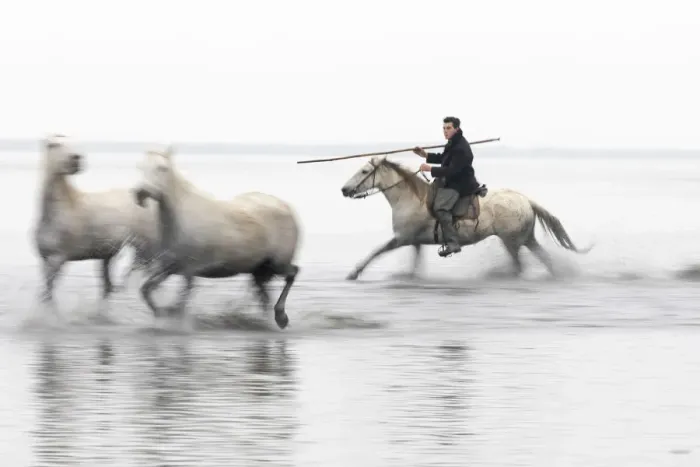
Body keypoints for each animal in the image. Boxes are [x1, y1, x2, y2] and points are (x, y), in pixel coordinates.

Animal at [32, 134, 159, 304]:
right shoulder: (44, 260)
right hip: (110, 255)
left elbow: (47, 293)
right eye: (54, 145)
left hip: (144, 249)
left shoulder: (57, 259)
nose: (76, 159)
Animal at [131, 145, 301, 329]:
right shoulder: (170, 267)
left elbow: (181, 303)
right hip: (260, 269)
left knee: (292, 273)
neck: (180, 221)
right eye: (140, 167)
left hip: (278, 263)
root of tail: (285, 206)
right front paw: (160, 314)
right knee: (264, 295)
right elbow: (146, 289)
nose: (140, 193)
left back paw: (281, 317)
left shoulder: (189, 270)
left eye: (162, 168)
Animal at [340, 156, 592, 280]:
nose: (344, 190)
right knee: (545, 259)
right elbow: (414, 264)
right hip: (526, 239)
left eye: (364, 172)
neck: (411, 198)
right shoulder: (414, 242)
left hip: (511, 242)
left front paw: (353, 273)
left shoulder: (401, 238)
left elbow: (375, 252)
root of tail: (526, 200)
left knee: (519, 267)